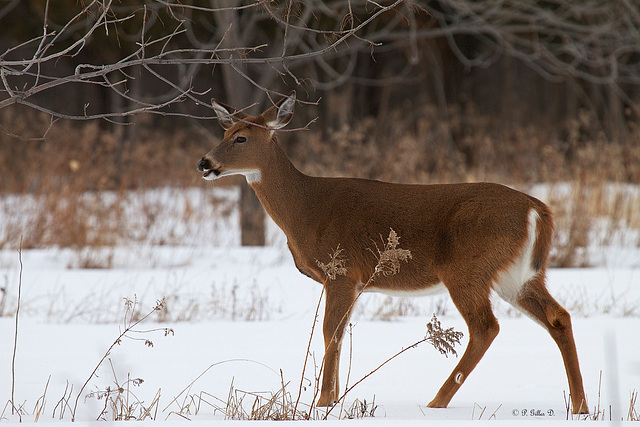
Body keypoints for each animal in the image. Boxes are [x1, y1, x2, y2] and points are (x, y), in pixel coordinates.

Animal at [196, 91, 592, 414]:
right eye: (224, 133)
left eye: (241, 138)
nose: (204, 163)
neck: (305, 209)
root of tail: (538, 209)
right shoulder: (352, 282)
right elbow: (338, 333)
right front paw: (332, 399)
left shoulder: (342, 273)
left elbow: (330, 333)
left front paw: (324, 402)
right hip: (518, 275)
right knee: (558, 317)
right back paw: (580, 406)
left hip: (467, 268)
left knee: (486, 327)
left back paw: (436, 402)